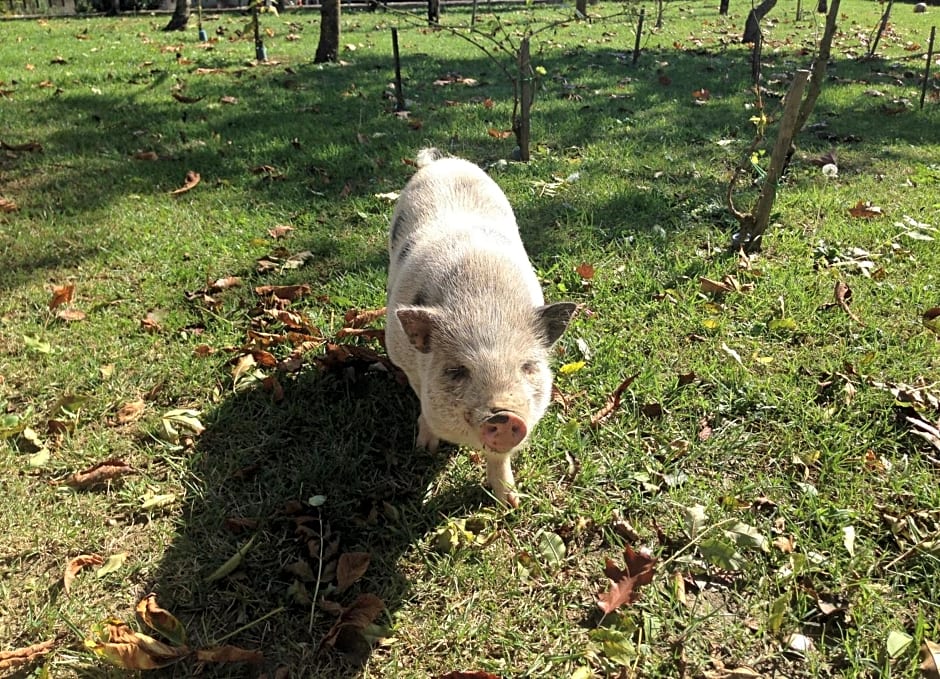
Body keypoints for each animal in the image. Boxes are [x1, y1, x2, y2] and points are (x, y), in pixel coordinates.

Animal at [382, 150, 572, 510]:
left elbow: (500, 459)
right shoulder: (406, 362)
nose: (505, 416)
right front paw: (424, 450)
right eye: (457, 370)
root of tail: (441, 163)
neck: (485, 307)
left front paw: (511, 503)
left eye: (528, 366)